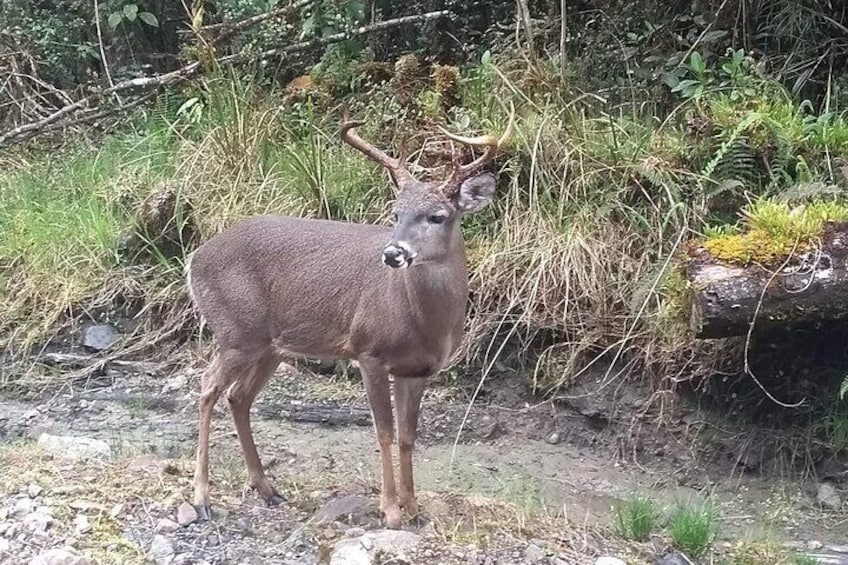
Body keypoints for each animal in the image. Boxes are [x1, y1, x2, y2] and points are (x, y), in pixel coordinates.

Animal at [188, 102, 512, 528]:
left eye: (438, 216)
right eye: (396, 212)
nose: (393, 254)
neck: (425, 323)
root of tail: (195, 257)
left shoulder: (417, 370)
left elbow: (408, 435)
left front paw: (414, 507)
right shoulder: (368, 350)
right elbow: (384, 432)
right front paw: (390, 509)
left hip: (269, 345)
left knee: (238, 396)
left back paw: (267, 489)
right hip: (236, 330)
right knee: (208, 386)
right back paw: (202, 498)